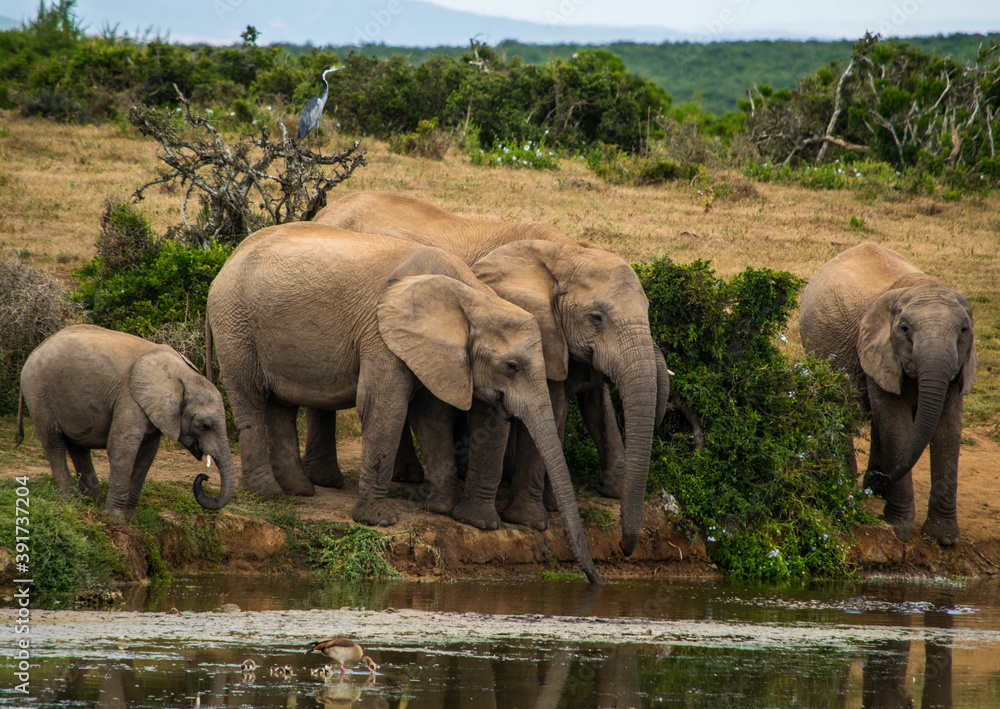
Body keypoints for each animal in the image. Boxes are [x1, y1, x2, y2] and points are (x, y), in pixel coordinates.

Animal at [16, 324, 235, 522]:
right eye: (205, 426)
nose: (204, 477)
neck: (183, 375)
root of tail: (34, 350)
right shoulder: (130, 399)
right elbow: (123, 448)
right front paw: (115, 520)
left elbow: (147, 456)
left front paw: (131, 520)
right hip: (38, 391)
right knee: (53, 442)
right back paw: (69, 500)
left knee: (78, 445)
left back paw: (91, 502)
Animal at [205, 222, 602, 584]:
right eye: (511, 366)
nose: (596, 580)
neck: (473, 297)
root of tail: (225, 264)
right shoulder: (382, 333)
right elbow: (384, 405)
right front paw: (379, 521)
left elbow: (431, 414)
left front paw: (443, 510)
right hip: (235, 324)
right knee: (250, 398)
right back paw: (268, 492)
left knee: (281, 404)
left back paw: (298, 491)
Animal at [310, 191, 670, 556]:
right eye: (597, 318)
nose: (624, 547)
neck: (566, 252)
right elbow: (548, 407)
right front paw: (529, 520)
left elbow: (585, 404)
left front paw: (594, 496)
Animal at [799, 242, 976, 545]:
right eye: (904, 330)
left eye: (964, 330)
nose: (881, 477)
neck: (921, 286)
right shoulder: (877, 350)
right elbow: (896, 425)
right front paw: (897, 530)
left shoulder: (959, 364)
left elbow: (949, 429)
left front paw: (944, 539)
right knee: (842, 407)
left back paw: (872, 489)